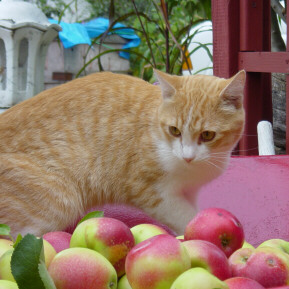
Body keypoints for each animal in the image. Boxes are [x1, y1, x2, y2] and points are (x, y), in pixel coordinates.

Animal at [0, 70, 244, 236]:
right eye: (174, 130)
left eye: (207, 135)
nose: (188, 156)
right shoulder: (150, 190)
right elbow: (186, 217)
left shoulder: (189, 191)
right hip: (59, 202)